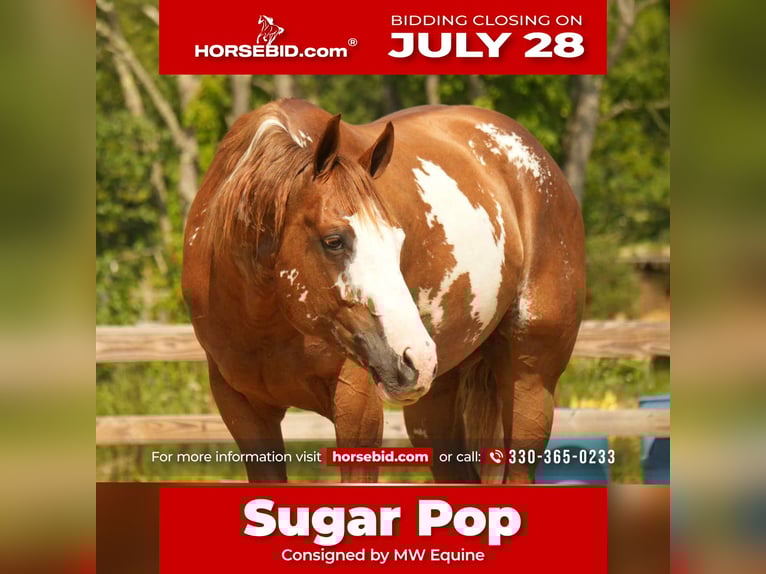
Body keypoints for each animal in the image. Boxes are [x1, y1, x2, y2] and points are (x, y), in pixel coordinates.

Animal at [182, 98, 585, 483]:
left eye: (398, 241)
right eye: (333, 241)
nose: (416, 357)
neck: (264, 320)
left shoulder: (357, 409)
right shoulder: (245, 412)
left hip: (529, 386)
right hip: (433, 400)